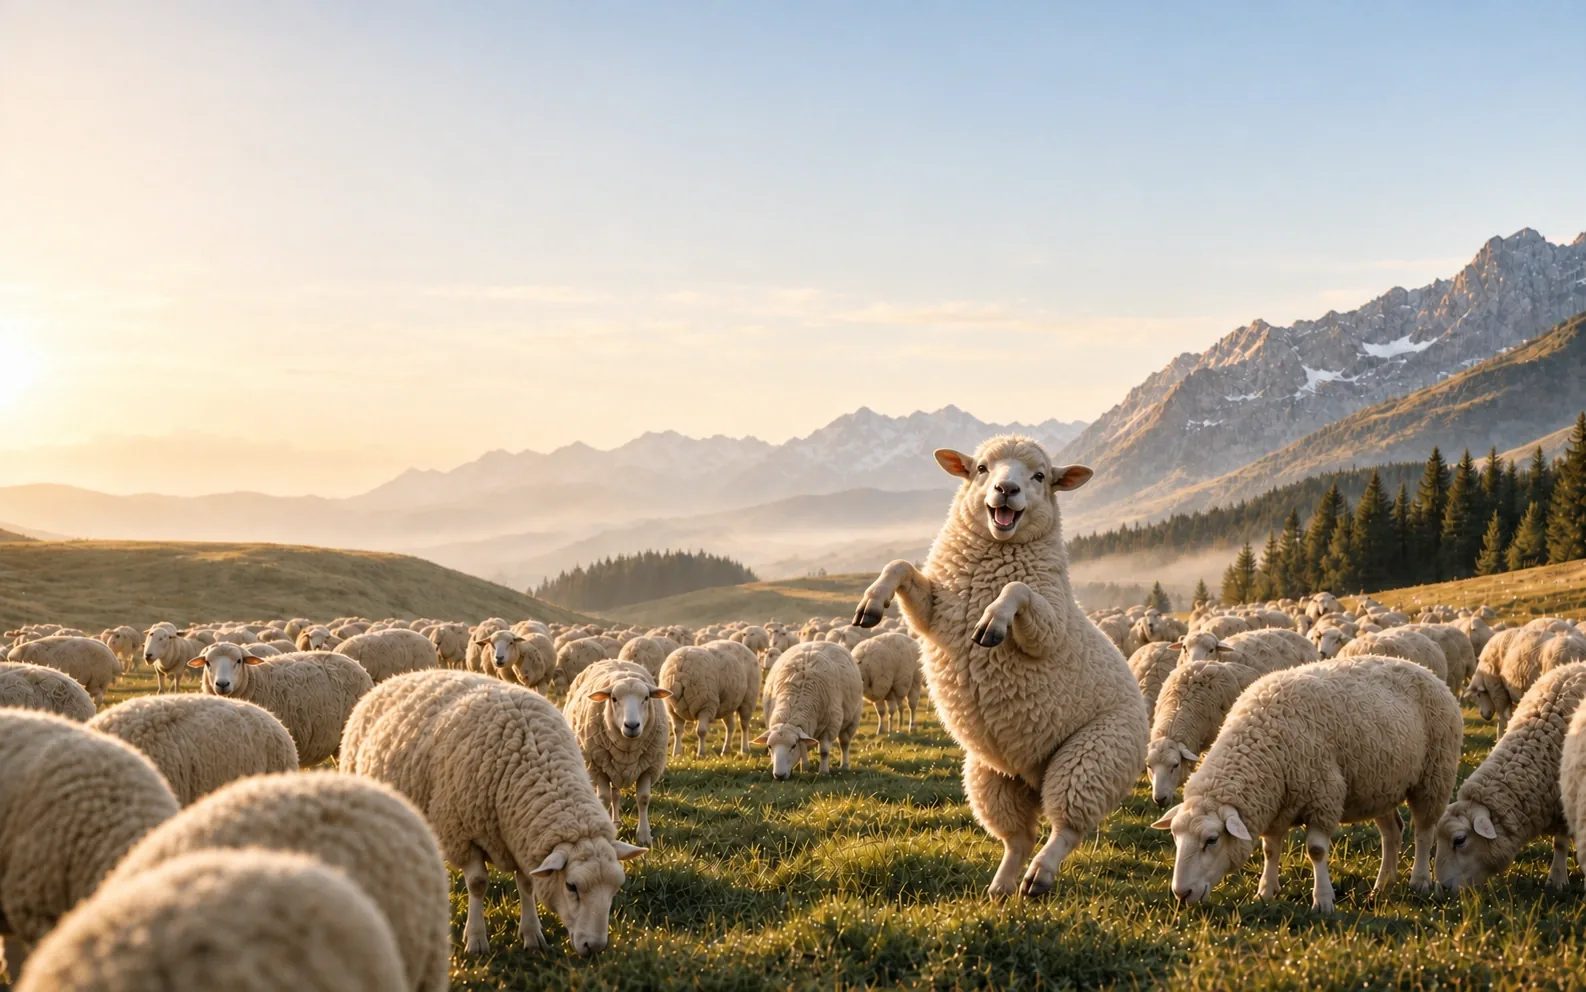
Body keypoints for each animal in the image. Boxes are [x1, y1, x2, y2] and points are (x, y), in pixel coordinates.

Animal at [339, 670, 646, 957]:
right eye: (571, 886)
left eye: (615, 888)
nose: (595, 947)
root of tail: (398, 677)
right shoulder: (462, 834)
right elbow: (477, 884)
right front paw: (475, 940)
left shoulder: (521, 839)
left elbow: (527, 884)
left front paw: (532, 934)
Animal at [564, 660, 671, 845]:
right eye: (614, 699)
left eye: (646, 698)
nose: (632, 725)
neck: (628, 748)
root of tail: (614, 660)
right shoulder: (597, 767)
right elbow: (604, 799)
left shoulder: (649, 768)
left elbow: (643, 798)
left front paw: (644, 836)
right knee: (612, 795)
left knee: (616, 794)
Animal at [753, 641, 864, 777]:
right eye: (769, 746)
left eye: (793, 746)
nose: (779, 776)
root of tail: (820, 641)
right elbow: (804, 748)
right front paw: (804, 768)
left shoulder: (830, 726)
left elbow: (824, 751)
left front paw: (823, 772)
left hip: (853, 718)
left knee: (845, 742)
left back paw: (845, 766)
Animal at [853, 435, 1147, 898]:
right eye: (981, 468)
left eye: (1041, 475)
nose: (1007, 489)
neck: (993, 554)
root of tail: (1034, 776)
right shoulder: (935, 613)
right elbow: (899, 565)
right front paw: (871, 603)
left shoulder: (1051, 628)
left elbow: (1018, 588)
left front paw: (993, 622)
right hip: (991, 773)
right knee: (1019, 836)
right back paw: (1002, 887)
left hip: (1092, 756)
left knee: (1066, 827)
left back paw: (1040, 876)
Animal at [1152, 657, 1462, 912]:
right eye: (1175, 836)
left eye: (1212, 840)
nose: (1181, 893)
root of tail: (1424, 669)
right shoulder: (1275, 802)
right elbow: (1270, 849)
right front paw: (1266, 891)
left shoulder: (1323, 796)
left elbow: (1316, 851)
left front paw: (1323, 900)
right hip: (1379, 785)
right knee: (1393, 833)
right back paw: (1383, 883)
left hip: (1434, 775)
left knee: (1423, 832)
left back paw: (1419, 880)